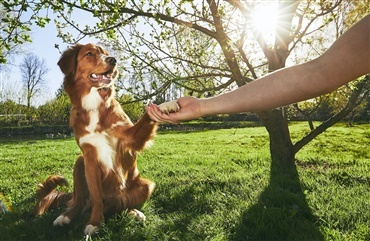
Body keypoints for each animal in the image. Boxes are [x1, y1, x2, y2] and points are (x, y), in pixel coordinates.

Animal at [35, 42, 179, 235]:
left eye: (106, 53)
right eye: (89, 54)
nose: (113, 60)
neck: (94, 104)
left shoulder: (130, 138)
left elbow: (147, 115)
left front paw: (165, 106)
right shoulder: (89, 158)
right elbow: (96, 198)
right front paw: (95, 223)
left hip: (146, 185)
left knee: (122, 205)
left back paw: (134, 212)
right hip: (80, 163)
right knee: (79, 202)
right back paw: (65, 216)